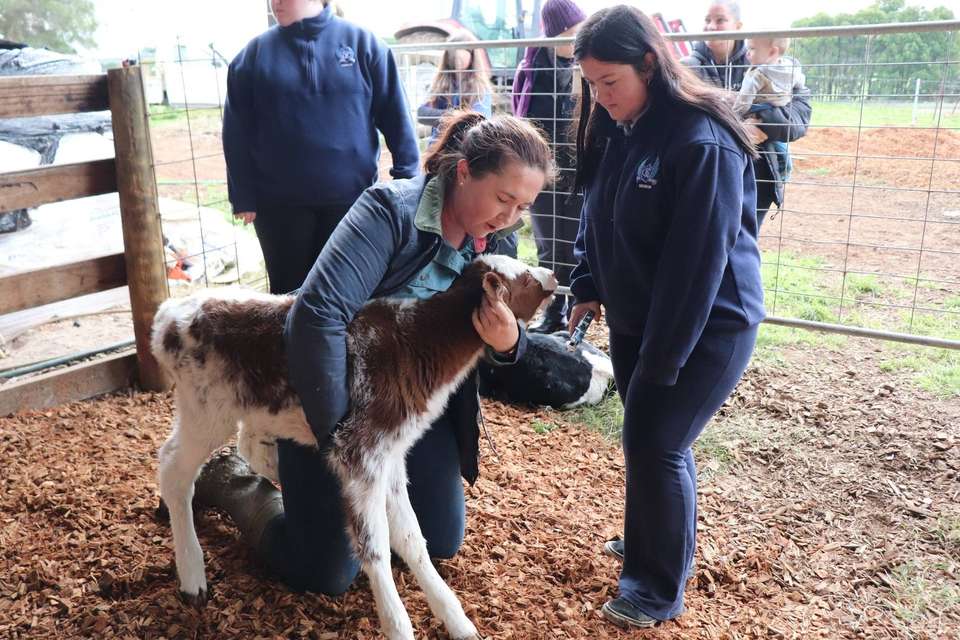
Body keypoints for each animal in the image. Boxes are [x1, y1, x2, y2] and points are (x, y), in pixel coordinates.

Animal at [150, 255, 556, 640]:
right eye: (523, 277)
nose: (552, 276)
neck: (419, 342)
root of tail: (167, 315)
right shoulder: (360, 451)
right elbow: (373, 544)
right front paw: (399, 626)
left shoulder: (390, 455)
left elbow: (412, 536)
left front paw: (456, 620)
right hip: (206, 408)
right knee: (173, 468)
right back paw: (192, 575)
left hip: (252, 406)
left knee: (245, 443)